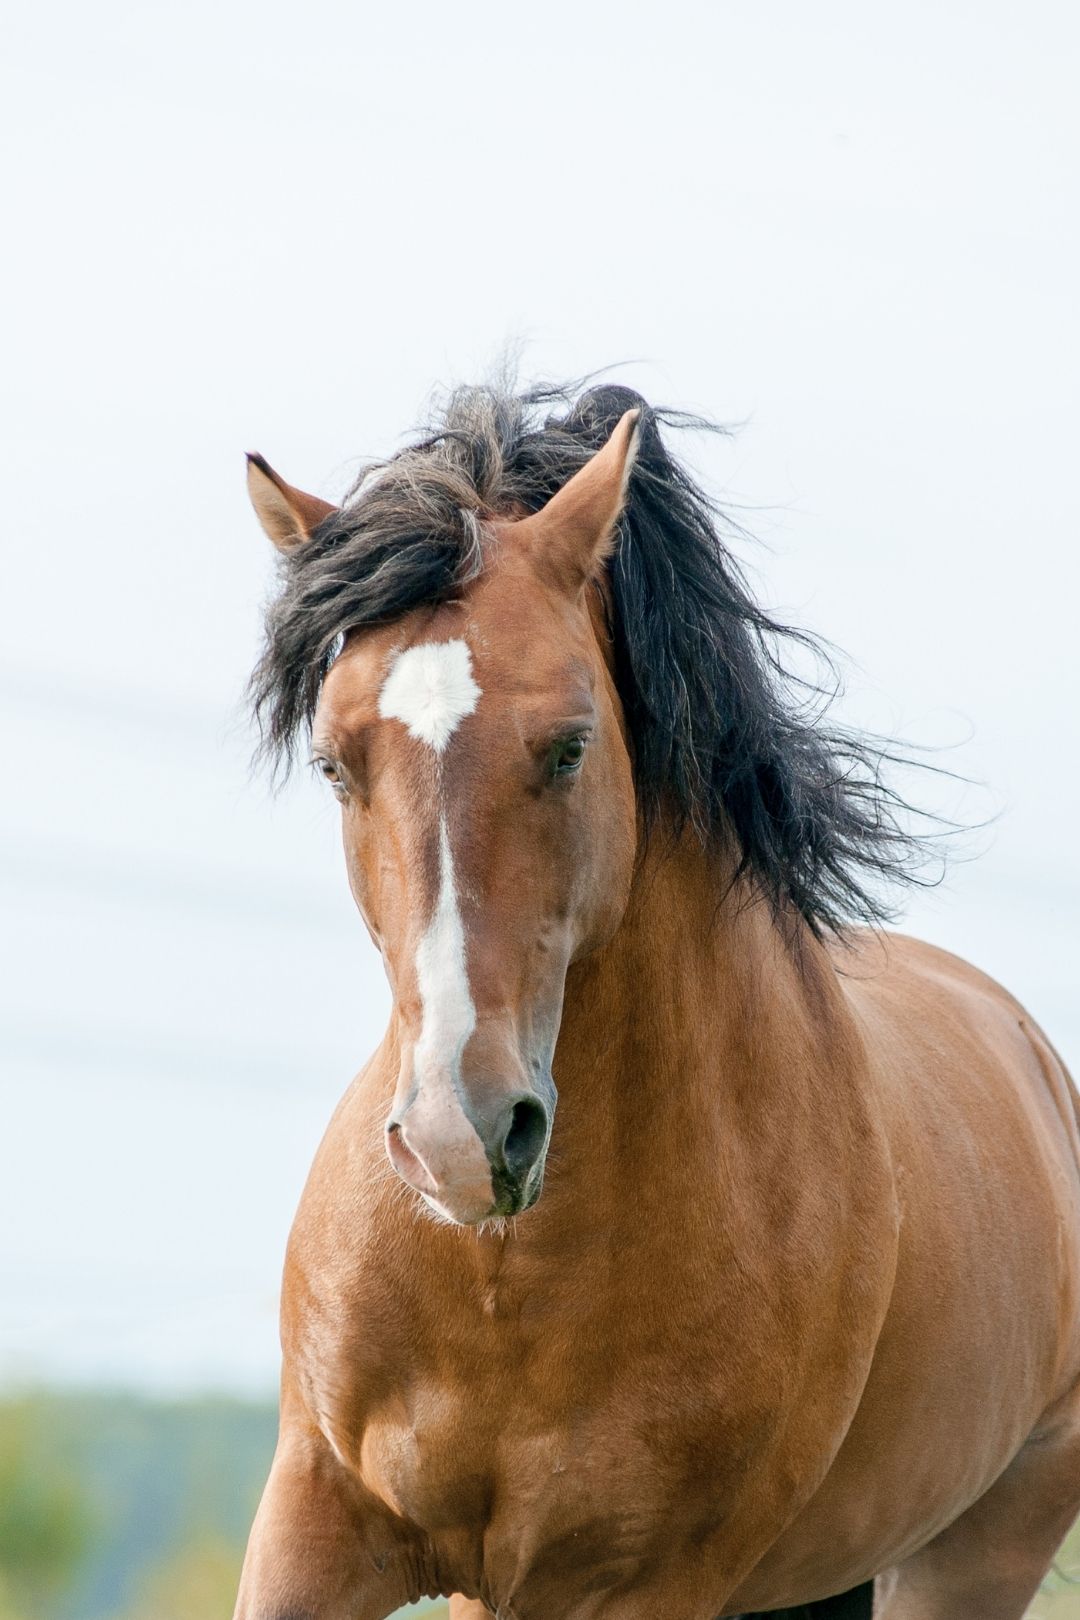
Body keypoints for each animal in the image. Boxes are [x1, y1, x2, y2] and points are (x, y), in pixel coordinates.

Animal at [234, 382, 1080, 1620]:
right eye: (337, 764)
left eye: (570, 746)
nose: (456, 1138)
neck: (510, 1277)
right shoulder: (319, 1524)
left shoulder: (642, 1585)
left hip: (972, 1552)